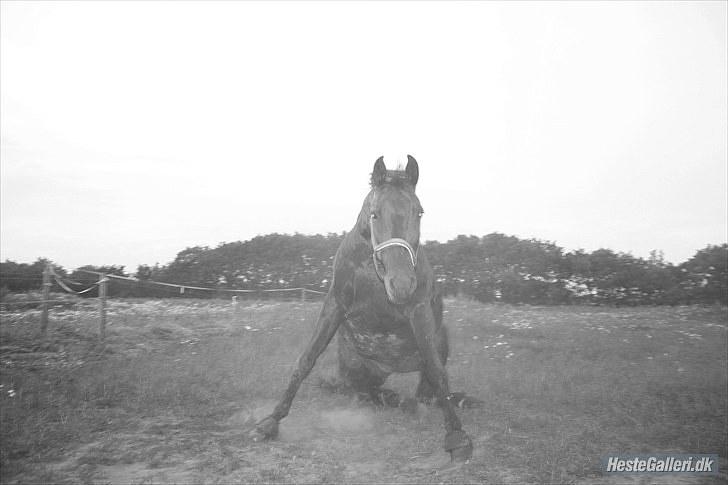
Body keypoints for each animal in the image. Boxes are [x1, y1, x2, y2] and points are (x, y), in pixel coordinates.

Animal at [253, 156, 474, 462]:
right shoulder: (334, 304)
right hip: (356, 371)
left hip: (438, 341)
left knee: (423, 394)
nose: (402, 284)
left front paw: (457, 435)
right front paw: (271, 421)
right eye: (374, 214)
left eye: (419, 213)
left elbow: (438, 372)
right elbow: (306, 359)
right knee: (367, 393)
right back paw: (392, 398)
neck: (370, 269)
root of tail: (389, 369)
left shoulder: (418, 311)